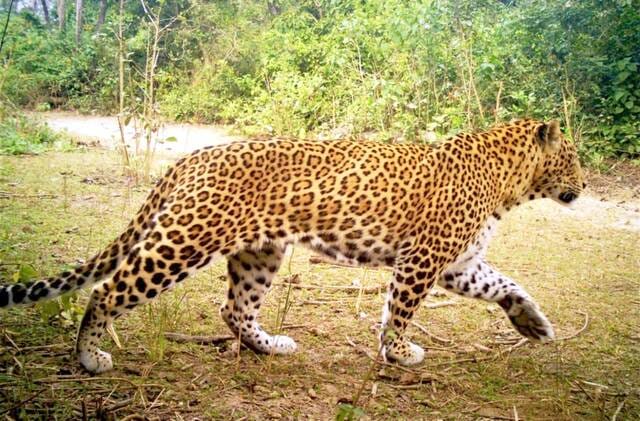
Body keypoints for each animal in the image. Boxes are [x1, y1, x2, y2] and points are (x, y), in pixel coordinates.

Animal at [0, 118, 585, 374]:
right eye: (573, 158)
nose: (584, 184)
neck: (509, 183)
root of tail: (190, 158)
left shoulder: (457, 263)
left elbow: (505, 285)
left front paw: (533, 323)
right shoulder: (423, 260)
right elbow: (399, 312)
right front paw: (397, 352)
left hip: (259, 252)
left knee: (234, 309)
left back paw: (270, 346)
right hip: (182, 243)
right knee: (107, 292)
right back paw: (90, 356)